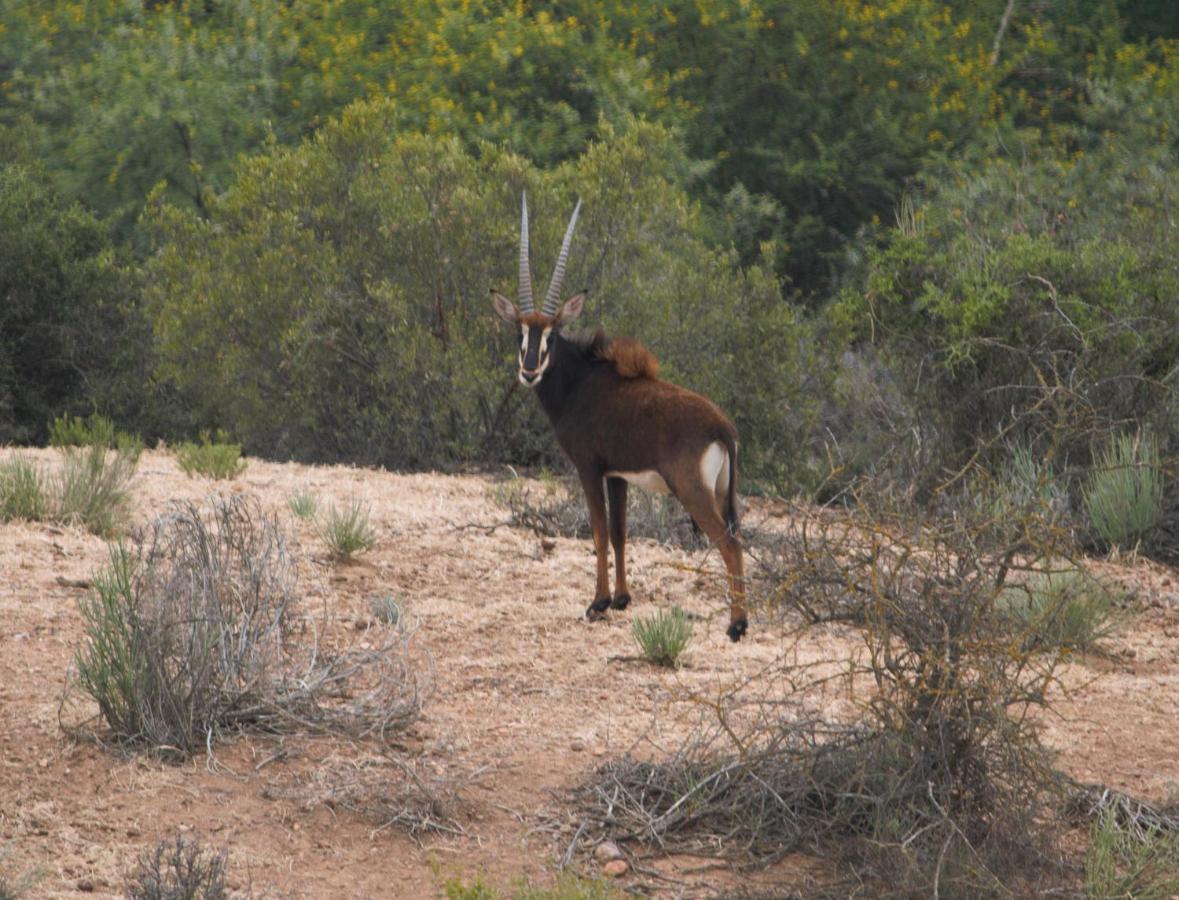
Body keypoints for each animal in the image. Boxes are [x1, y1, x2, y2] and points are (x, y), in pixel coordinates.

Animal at [492, 195, 749, 641]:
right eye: (519, 332)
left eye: (551, 335)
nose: (529, 371)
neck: (579, 381)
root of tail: (724, 429)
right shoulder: (617, 475)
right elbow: (620, 532)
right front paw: (622, 598)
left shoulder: (589, 468)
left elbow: (597, 530)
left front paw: (597, 603)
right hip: (719, 492)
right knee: (736, 538)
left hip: (693, 491)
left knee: (729, 544)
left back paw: (736, 625)